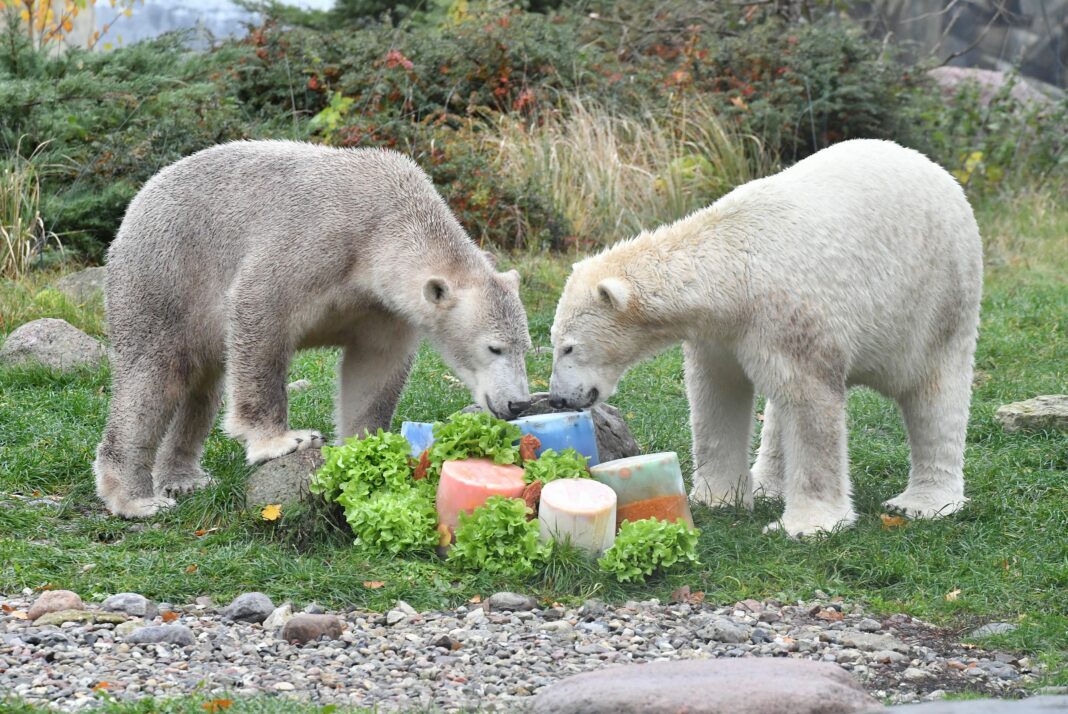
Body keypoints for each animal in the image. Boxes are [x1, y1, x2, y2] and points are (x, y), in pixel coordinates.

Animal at [98, 138, 531, 518]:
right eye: (494, 348)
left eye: (525, 347)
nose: (518, 404)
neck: (386, 220)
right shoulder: (316, 242)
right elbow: (260, 309)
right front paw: (283, 440)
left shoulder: (383, 308)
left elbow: (373, 369)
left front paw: (365, 448)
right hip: (165, 275)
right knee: (154, 377)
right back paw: (136, 499)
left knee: (201, 390)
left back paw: (184, 478)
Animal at [551, 138, 982, 537]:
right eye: (554, 341)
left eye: (568, 346)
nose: (558, 398)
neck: (736, 271)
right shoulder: (721, 334)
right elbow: (717, 394)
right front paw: (719, 497)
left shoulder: (790, 314)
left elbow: (810, 404)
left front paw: (808, 525)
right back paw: (767, 485)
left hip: (935, 299)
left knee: (933, 392)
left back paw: (923, 502)